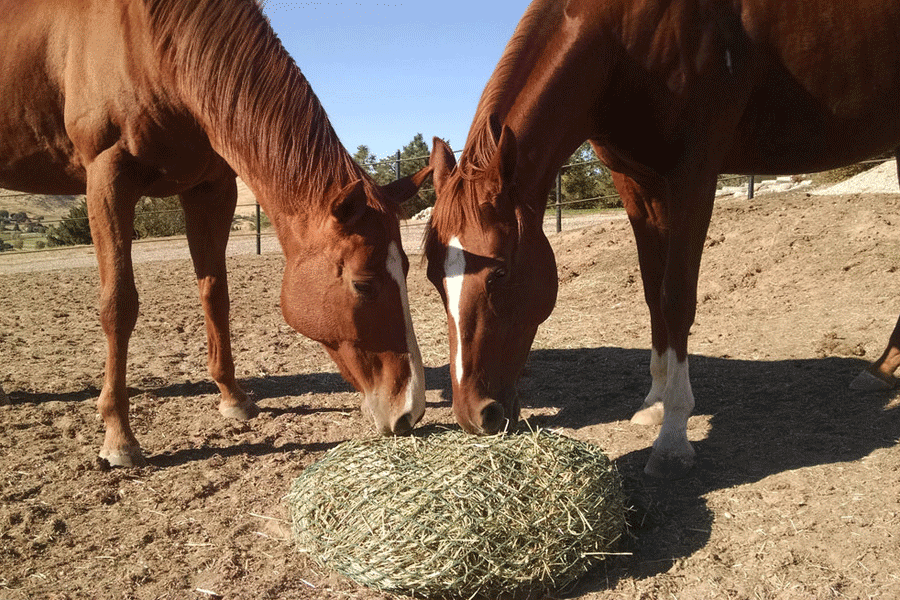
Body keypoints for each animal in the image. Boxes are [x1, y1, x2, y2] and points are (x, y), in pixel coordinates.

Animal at [0, 0, 432, 466]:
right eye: (363, 284)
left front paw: (233, 398)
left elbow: (215, 293)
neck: (151, 46)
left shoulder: (211, 189)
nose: (410, 410)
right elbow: (118, 306)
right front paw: (119, 437)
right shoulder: (107, 178)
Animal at [424, 0, 900, 478]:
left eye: (500, 273)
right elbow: (653, 295)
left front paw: (673, 433)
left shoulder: (694, 175)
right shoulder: (637, 183)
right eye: (431, 277)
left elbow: (676, 299)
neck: (623, 37)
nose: (475, 415)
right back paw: (882, 370)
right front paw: (653, 402)